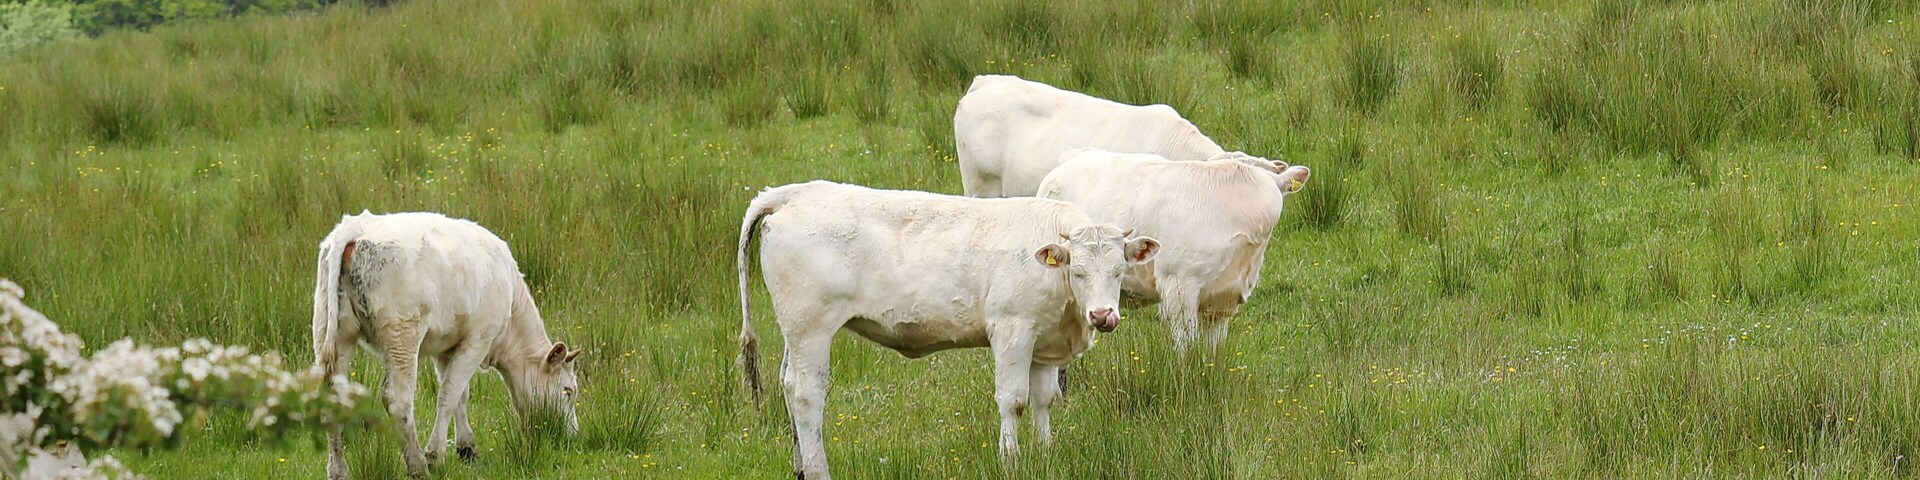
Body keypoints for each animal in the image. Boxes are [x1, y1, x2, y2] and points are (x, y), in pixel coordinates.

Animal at [311, 211, 583, 480]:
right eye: (568, 390)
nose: (572, 435)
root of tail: (358, 225)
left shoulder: (446, 346)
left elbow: (461, 396)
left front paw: (467, 448)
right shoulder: (478, 340)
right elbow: (449, 395)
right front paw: (436, 455)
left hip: (331, 331)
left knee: (332, 398)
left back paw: (338, 470)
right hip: (402, 334)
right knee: (398, 400)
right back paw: (418, 466)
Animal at [735, 181, 1158, 479]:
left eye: (1119, 270)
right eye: (1079, 271)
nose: (1103, 315)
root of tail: (793, 193)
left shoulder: (1043, 340)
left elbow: (1043, 400)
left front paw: (1045, 453)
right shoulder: (1012, 329)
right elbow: (1013, 400)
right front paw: (1010, 461)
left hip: (795, 330)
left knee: (788, 384)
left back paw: (799, 465)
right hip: (811, 327)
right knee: (807, 394)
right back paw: (818, 470)